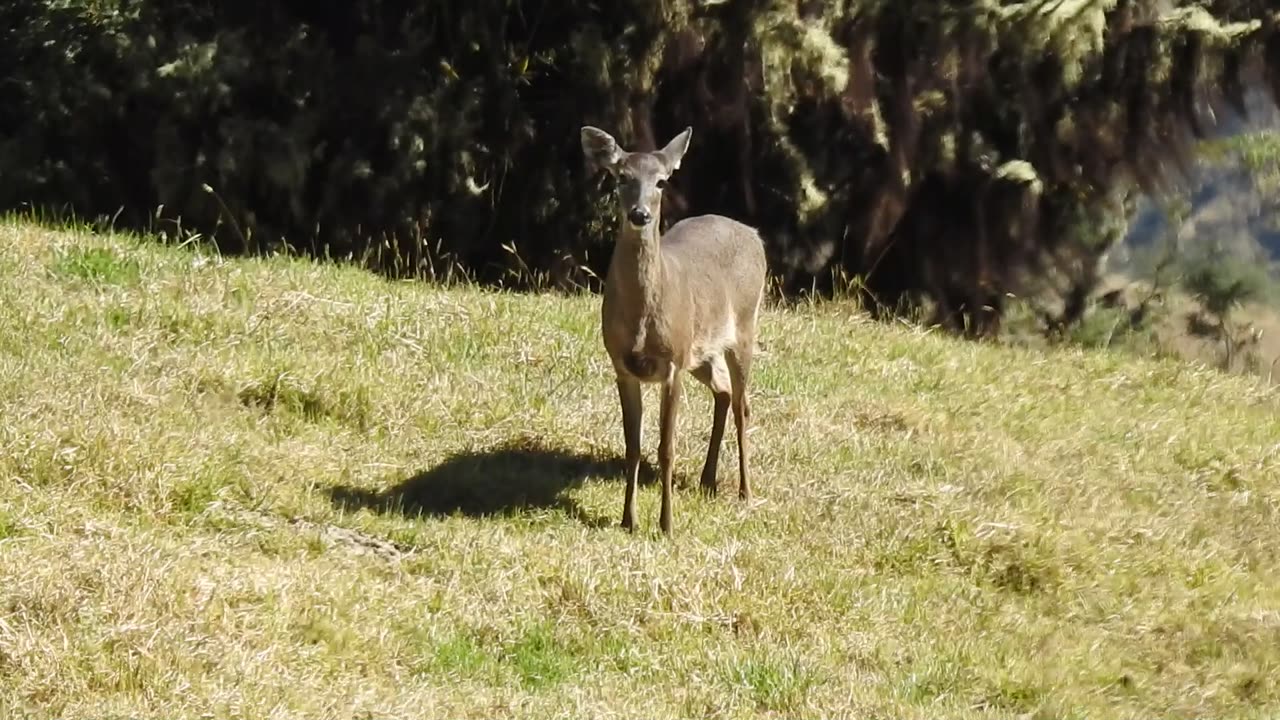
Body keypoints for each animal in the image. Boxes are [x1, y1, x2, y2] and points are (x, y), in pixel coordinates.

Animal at [583, 122, 768, 532]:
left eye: (662, 181)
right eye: (621, 176)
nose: (640, 214)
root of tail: (754, 233)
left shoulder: (672, 365)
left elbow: (666, 448)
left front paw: (666, 524)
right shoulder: (622, 365)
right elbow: (632, 446)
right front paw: (628, 520)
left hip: (743, 328)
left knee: (743, 404)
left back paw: (746, 492)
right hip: (700, 353)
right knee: (724, 392)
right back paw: (707, 480)